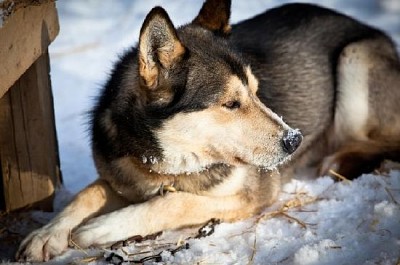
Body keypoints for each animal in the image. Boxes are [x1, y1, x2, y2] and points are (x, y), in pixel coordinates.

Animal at [16, 0, 400, 260]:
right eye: (231, 104)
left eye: (256, 92)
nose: (295, 140)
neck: (166, 164)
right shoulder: (123, 175)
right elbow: (89, 193)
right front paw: (47, 233)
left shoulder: (252, 195)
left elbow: (177, 202)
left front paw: (101, 228)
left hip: (354, 59)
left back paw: (339, 160)